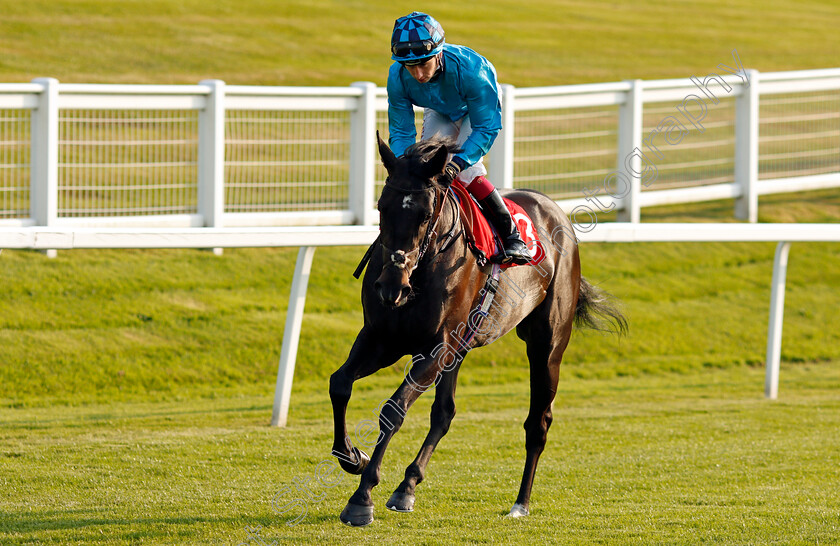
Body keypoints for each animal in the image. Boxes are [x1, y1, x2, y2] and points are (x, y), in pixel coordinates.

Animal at [328, 133, 624, 524]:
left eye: (425, 214)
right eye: (381, 207)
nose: (392, 286)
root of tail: (555, 211)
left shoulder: (436, 347)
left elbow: (393, 409)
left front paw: (362, 497)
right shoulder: (383, 338)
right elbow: (340, 384)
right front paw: (352, 456)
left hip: (547, 345)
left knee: (538, 423)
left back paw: (520, 503)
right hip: (461, 348)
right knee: (444, 413)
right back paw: (407, 487)